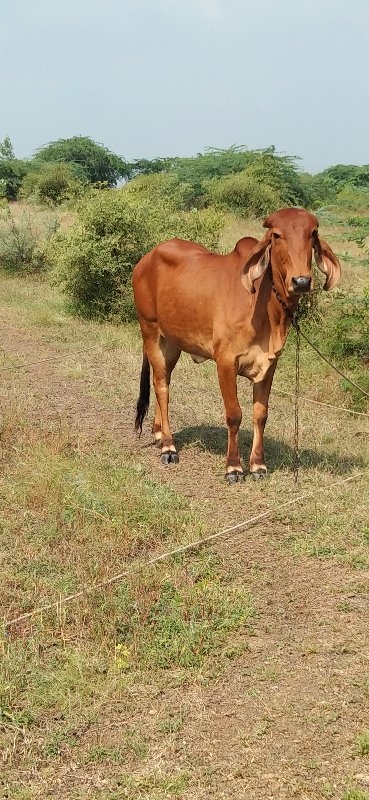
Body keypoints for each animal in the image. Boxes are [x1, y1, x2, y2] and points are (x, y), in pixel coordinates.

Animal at [132, 208, 340, 482]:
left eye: (313, 233)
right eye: (276, 235)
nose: (302, 281)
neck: (264, 303)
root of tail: (146, 259)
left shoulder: (269, 363)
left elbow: (260, 414)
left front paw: (258, 465)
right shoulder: (226, 361)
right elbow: (234, 414)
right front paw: (233, 467)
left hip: (172, 342)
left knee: (162, 380)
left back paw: (159, 434)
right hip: (151, 331)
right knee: (161, 386)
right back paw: (168, 446)